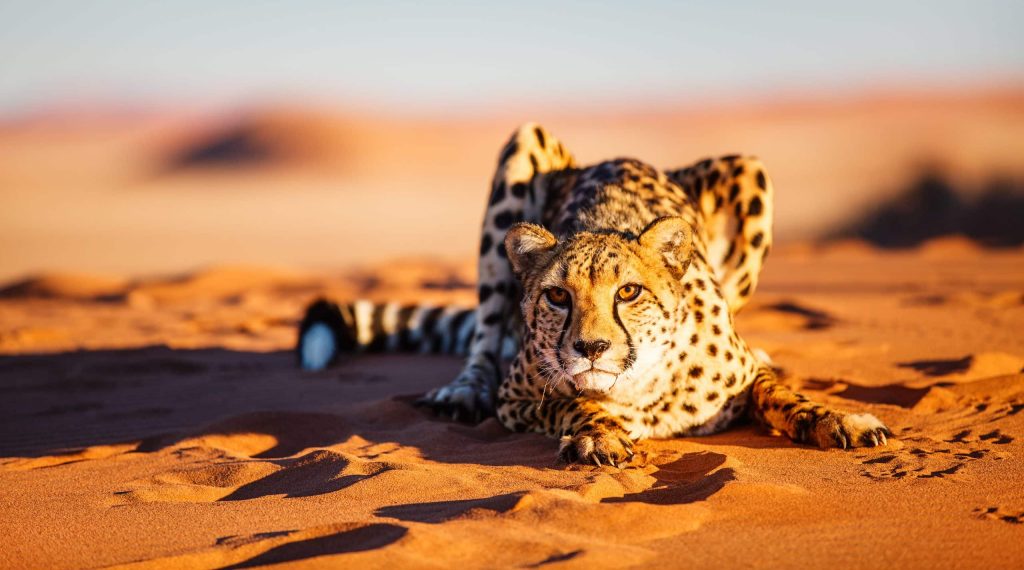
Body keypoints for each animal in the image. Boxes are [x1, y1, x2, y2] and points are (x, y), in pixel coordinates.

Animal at [298, 123, 891, 466]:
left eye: (628, 292)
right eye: (558, 297)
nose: (591, 348)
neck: (642, 382)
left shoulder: (742, 372)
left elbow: (780, 392)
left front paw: (838, 419)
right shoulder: (515, 401)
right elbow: (571, 402)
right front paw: (599, 433)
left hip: (750, 172)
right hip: (520, 152)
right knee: (485, 336)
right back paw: (463, 390)